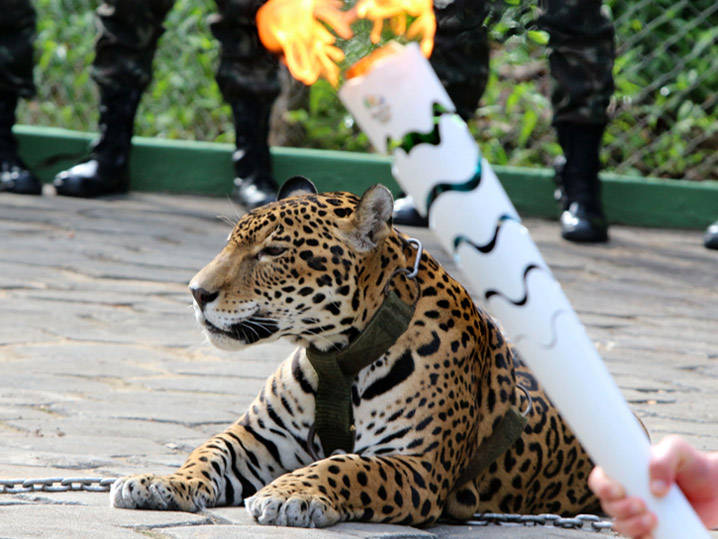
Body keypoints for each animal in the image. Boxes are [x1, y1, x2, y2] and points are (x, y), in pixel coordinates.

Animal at [110, 176, 600, 527]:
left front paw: (288, 493)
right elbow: (208, 451)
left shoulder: (418, 465)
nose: (196, 292)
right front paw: (161, 481)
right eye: (231, 242)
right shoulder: (259, 438)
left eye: (273, 251)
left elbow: (346, 465)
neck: (337, 355)